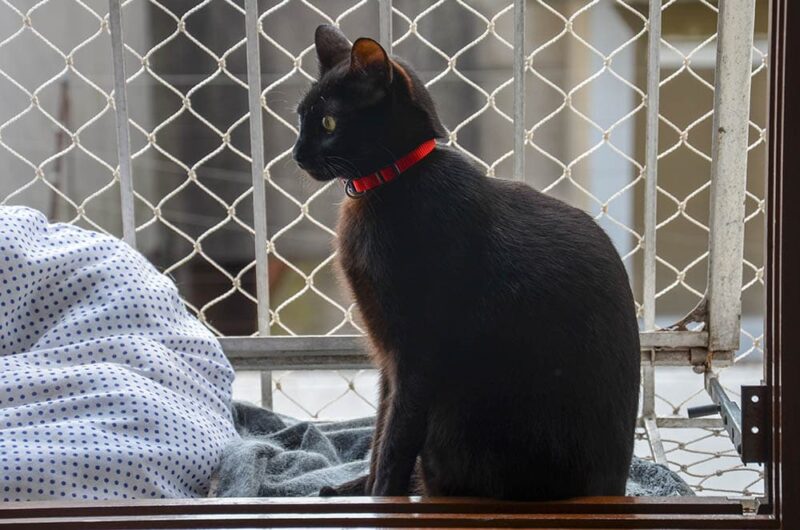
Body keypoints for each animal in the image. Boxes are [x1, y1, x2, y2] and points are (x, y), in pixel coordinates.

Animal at [290, 22, 640, 498]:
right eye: (300, 118)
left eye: (328, 122)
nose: (297, 154)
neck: (392, 181)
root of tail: (613, 491)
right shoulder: (387, 358)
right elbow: (380, 432)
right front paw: (364, 490)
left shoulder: (417, 357)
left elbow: (395, 443)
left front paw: (381, 498)